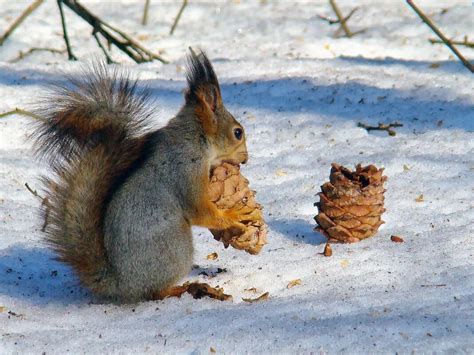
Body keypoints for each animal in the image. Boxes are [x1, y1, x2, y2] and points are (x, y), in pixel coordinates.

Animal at [31, 50, 258, 304]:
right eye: (238, 133)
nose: (245, 159)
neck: (193, 138)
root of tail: (121, 285)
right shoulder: (185, 171)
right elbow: (200, 211)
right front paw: (234, 214)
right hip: (176, 248)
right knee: (154, 292)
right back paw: (182, 289)